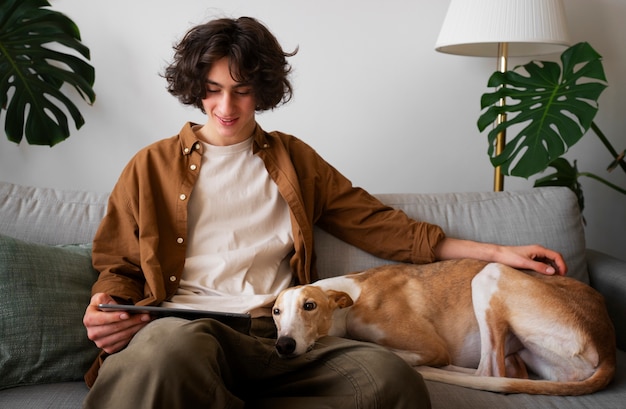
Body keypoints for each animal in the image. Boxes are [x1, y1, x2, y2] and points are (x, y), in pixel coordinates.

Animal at [270, 258, 612, 396]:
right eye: (276, 312)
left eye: (309, 306)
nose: (283, 346)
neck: (351, 297)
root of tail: (607, 341)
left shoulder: (432, 347)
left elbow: (390, 349)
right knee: (505, 372)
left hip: (491, 273)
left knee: (488, 373)